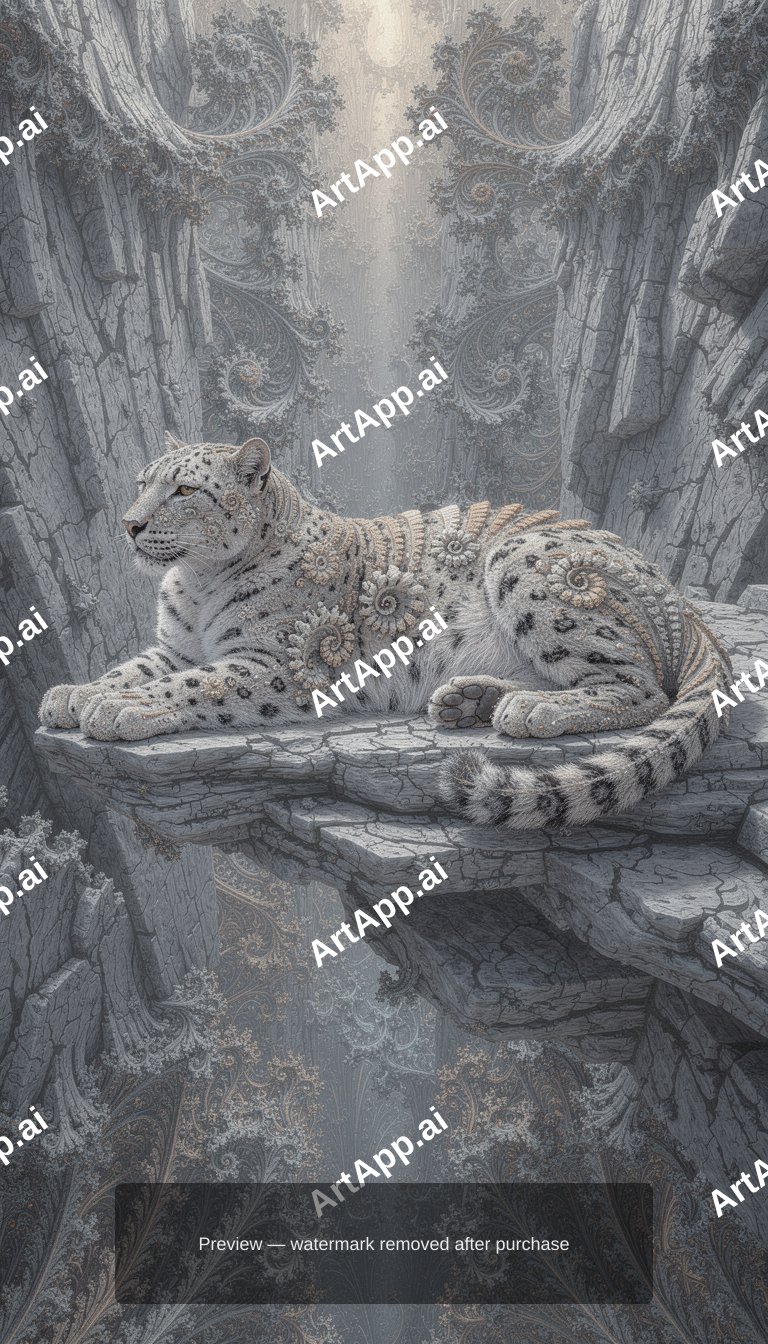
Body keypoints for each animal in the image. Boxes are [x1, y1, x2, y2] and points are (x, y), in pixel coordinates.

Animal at [39, 433, 732, 829]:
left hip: (526, 567)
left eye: (183, 490)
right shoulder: (173, 647)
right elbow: (138, 667)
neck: (198, 581)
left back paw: (530, 709)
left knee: (643, 687)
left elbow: (197, 685)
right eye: (142, 482)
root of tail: (681, 601)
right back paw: (470, 699)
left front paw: (117, 708)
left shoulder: (279, 666)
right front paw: (74, 693)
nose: (128, 523)